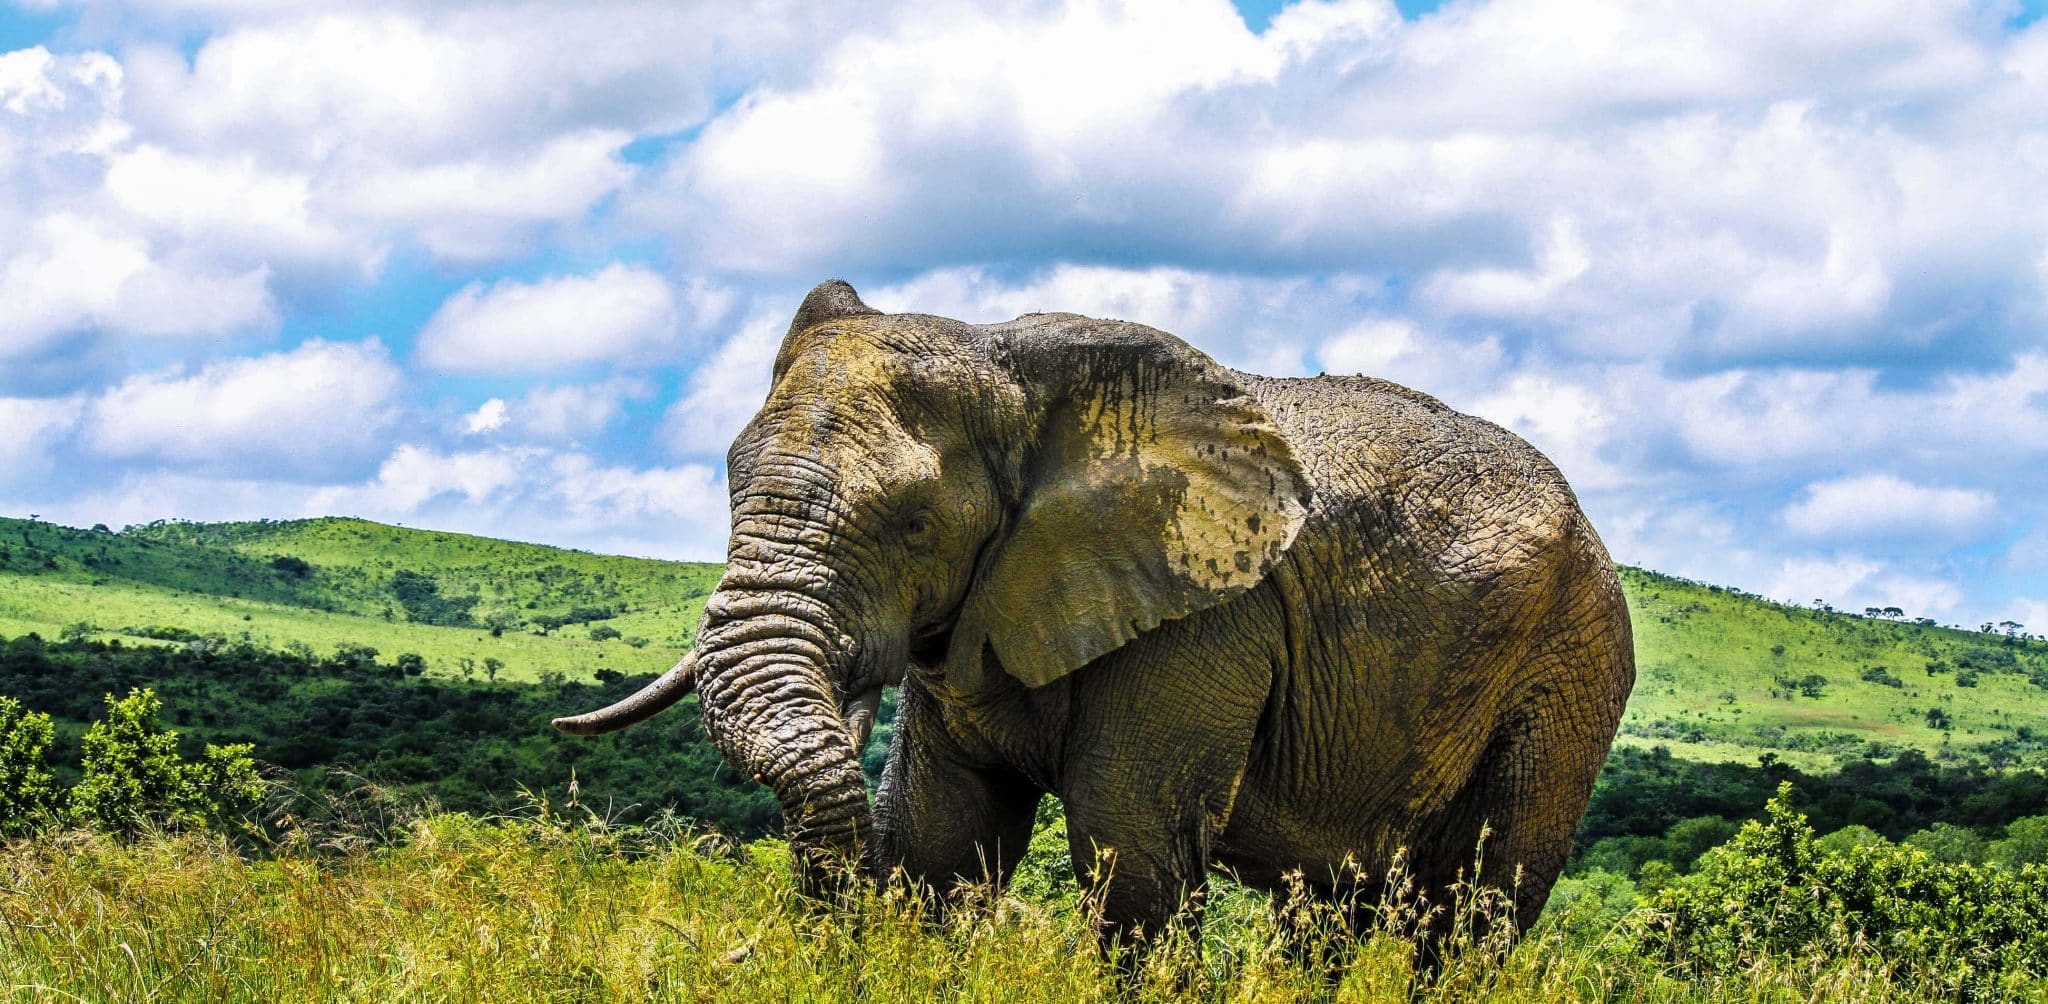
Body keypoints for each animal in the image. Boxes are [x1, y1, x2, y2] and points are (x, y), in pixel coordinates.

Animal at [555, 280, 1635, 961]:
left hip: (1567, 673)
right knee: (1326, 915)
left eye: (914, 523)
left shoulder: (1207, 617)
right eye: (729, 481)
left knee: (1475, 910)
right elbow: (943, 842)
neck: (1008, 360)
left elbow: (1132, 854)